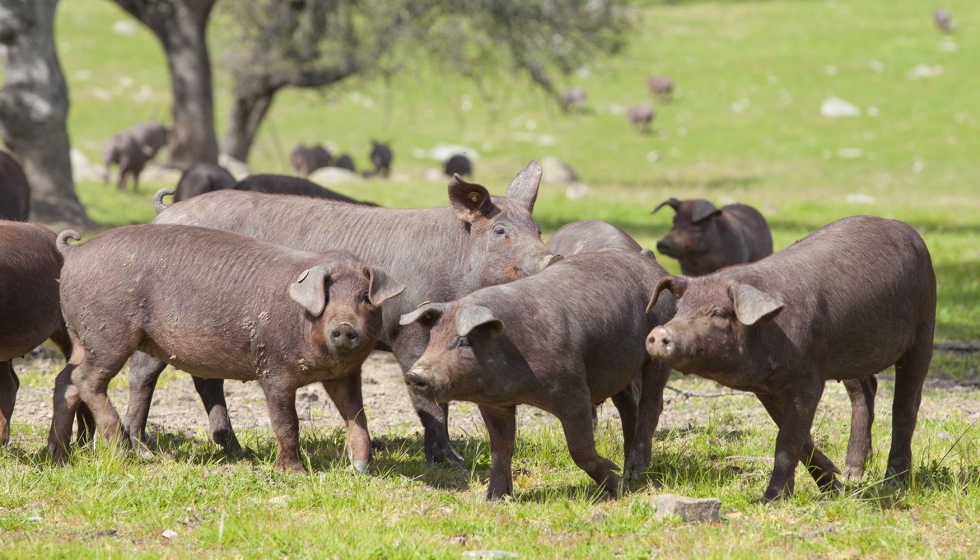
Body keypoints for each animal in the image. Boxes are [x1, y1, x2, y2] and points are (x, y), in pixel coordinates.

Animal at [53, 225, 405, 473]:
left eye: (364, 296)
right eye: (328, 296)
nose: (344, 327)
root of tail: (75, 252)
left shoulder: (346, 374)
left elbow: (358, 417)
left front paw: (362, 469)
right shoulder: (273, 368)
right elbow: (287, 422)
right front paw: (295, 472)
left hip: (82, 337)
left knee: (64, 382)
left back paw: (59, 455)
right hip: (108, 332)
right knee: (86, 380)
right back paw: (122, 450)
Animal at [138, 161, 558, 464]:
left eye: (538, 229)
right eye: (500, 231)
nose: (551, 258)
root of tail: (166, 211)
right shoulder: (408, 330)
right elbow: (429, 400)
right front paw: (453, 463)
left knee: (206, 380)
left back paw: (237, 450)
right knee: (147, 374)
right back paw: (142, 447)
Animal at [400, 248, 675, 499]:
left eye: (464, 342)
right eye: (432, 338)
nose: (415, 375)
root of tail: (648, 258)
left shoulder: (573, 390)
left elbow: (580, 450)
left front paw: (616, 485)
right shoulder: (494, 405)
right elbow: (501, 449)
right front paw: (494, 499)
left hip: (657, 348)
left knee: (652, 404)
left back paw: (633, 470)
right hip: (618, 369)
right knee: (629, 407)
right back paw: (630, 473)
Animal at [645, 215, 935, 501]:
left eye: (717, 313)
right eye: (679, 310)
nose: (660, 333)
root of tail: (906, 229)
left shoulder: (808, 380)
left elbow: (787, 440)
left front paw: (770, 500)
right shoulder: (765, 388)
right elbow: (799, 437)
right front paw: (835, 489)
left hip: (924, 326)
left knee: (906, 404)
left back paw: (894, 484)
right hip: (850, 353)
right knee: (864, 393)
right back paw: (853, 474)